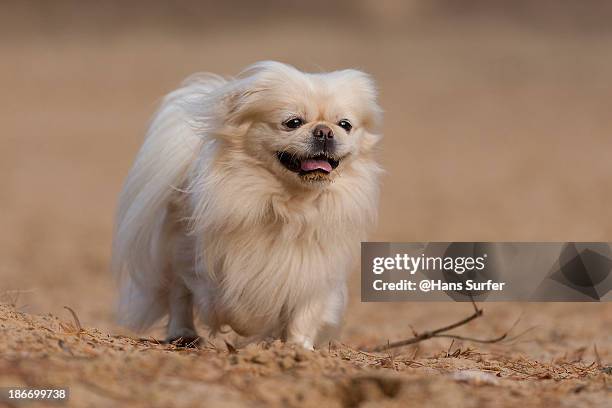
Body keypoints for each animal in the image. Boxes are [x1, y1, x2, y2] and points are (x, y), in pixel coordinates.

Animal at [112, 60, 380, 348]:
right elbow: (237, 305)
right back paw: (183, 334)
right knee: (179, 294)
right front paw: (254, 327)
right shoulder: (222, 265)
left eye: (345, 125)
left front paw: (297, 347)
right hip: (180, 252)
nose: (324, 131)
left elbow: (305, 312)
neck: (293, 205)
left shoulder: (314, 268)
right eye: (293, 122)